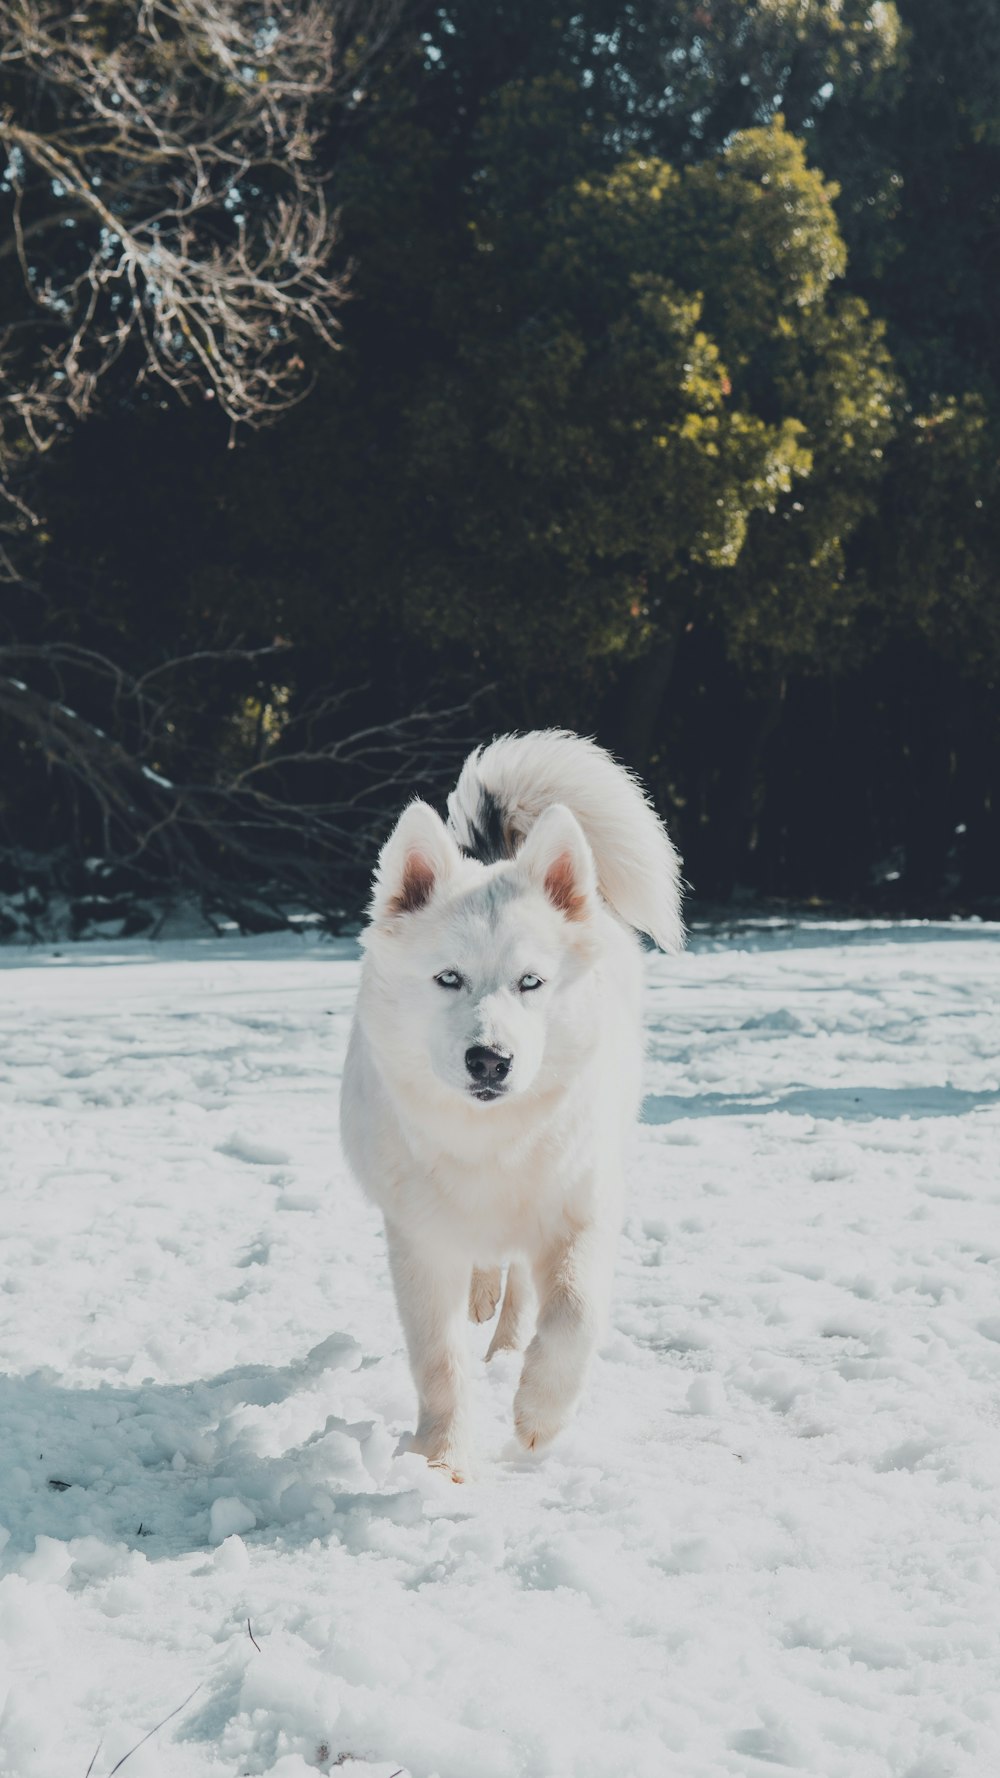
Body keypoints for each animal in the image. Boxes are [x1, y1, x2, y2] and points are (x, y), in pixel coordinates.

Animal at [338, 728, 679, 1479]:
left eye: (531, 982)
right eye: (448, 978)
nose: (490, 1060)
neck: (490, 1139)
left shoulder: (582, 1211)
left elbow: (574, 1311)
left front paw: (539, 1416)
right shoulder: (420, 1241)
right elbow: (438, 1359)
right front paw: (442, 1457)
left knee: (525, 1286)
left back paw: (507, 1349)